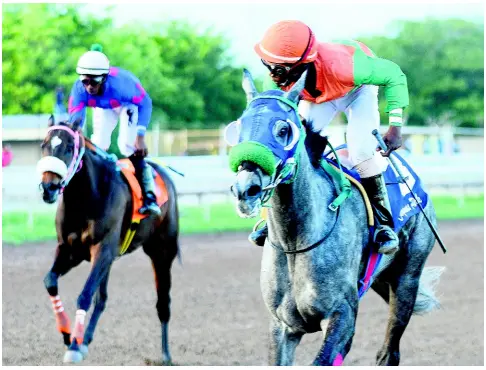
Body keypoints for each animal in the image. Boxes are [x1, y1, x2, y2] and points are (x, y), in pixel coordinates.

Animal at [36, 117, 180, 366]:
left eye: (69, 147)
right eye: (44, 145)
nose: (49, 187)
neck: (85, 198)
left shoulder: (102, 249)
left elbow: (85, 295)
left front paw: (74, 346)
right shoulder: (70, 250)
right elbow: (50, 281)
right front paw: (68, 335)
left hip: (162, 251)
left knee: (163, 302)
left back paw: (165, 354)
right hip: (111, 258)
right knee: (101, 298)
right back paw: (85, 340)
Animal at [228, 70, 444, 368]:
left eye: (283, 130)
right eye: (238, 129)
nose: (245, 189)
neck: (295, 242)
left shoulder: (342, 314)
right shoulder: (281, 326)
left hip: (408, 276)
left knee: (390, 351)